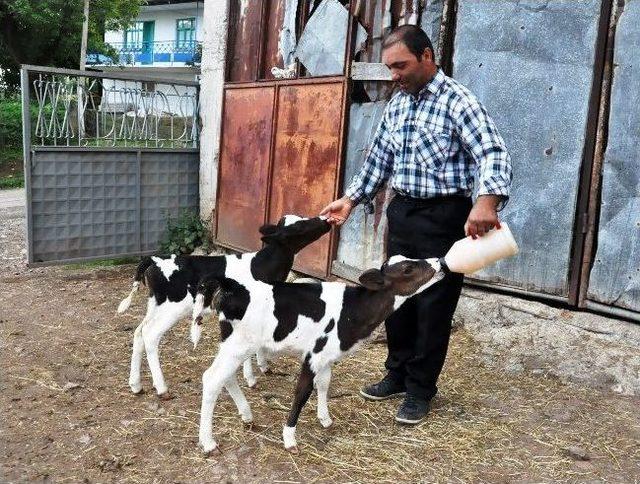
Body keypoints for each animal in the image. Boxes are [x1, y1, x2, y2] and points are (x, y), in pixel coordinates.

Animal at [117, 216, 332, 398]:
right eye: (299, 226)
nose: (324, 220)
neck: (261, 266)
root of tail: (153, 259)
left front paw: (263, 366)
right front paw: (251, 378)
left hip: (155, 304)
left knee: (139, 332)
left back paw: (136, 385)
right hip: (172, 307)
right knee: (150, 334)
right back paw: (162, 388)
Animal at [191, 255, 444, 452]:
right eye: (408, 268)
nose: (439, 263)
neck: (352, 311)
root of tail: (232, 286)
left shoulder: (326, 356)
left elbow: (323, 384)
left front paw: (325, 419)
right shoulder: (313, 355)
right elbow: (302, 392)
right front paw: (289, 438)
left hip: (234, 343)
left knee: (226, 377)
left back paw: (246, 414)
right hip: (239, 344)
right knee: (212, 378)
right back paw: (208, 442)